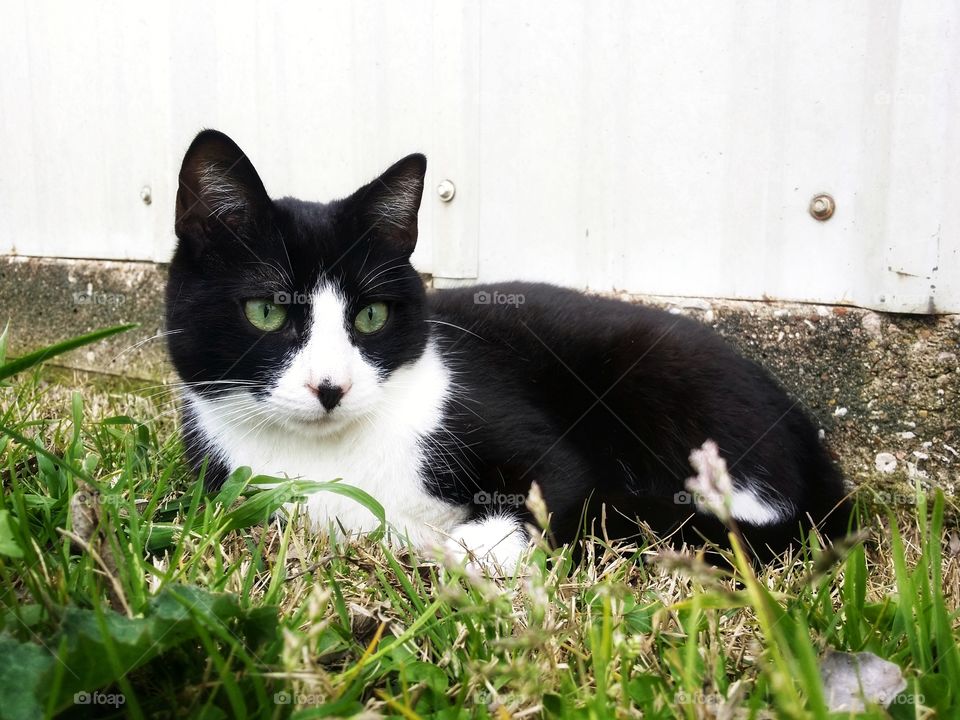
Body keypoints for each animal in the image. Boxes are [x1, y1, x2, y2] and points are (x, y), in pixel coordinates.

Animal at [165, 128, 848, 568]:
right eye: (266, 311)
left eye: (370, 315)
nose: (331, 387)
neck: (331, 455)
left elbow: (555, 491)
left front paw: (466, 548)